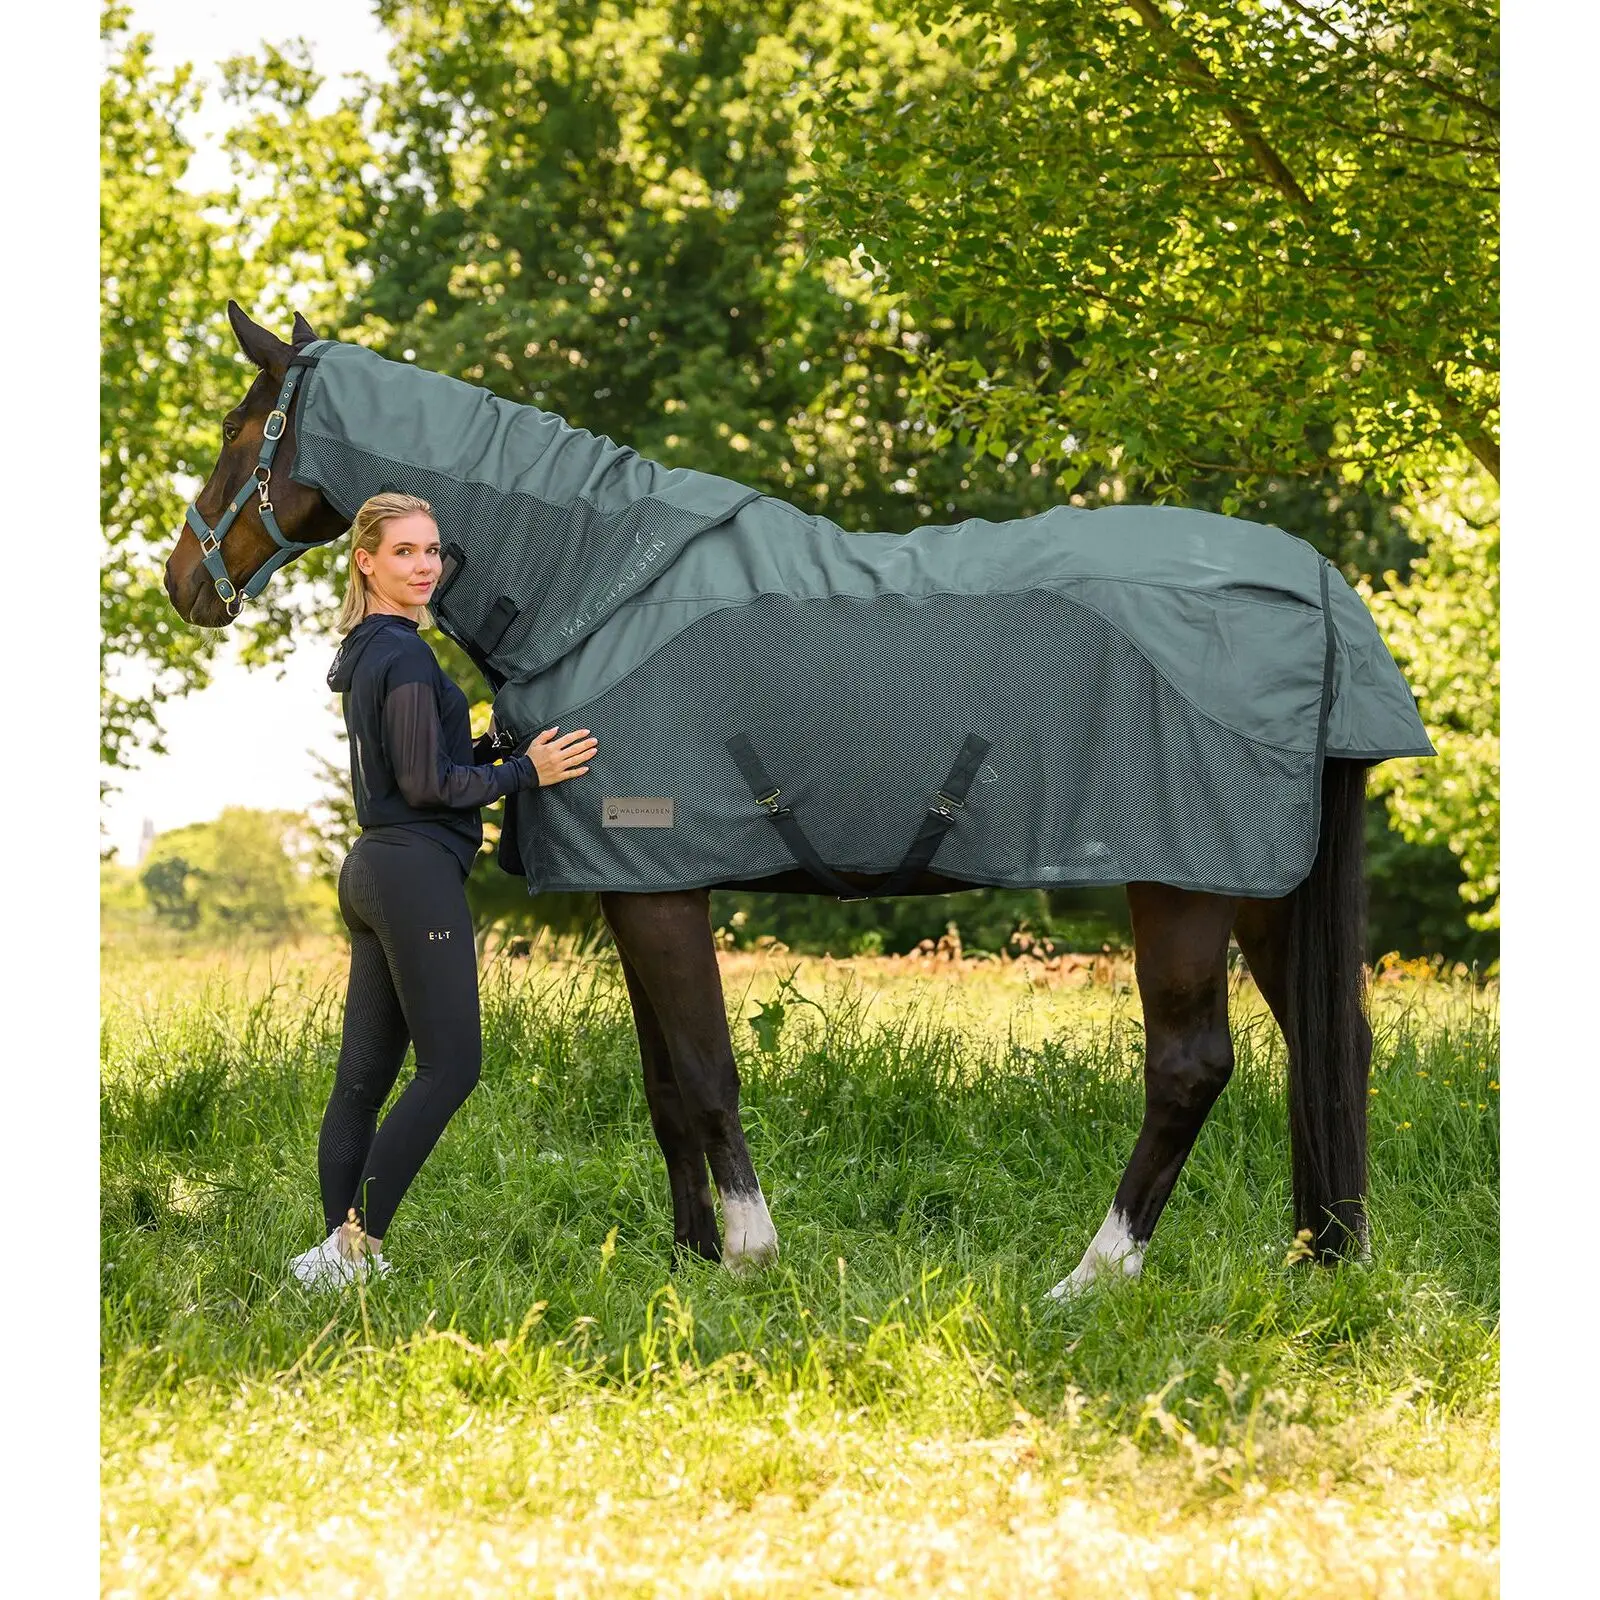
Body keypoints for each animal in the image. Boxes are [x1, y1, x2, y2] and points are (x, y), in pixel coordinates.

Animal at [160, 302, 1375, 1294]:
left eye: (234, 429)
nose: (182, 584)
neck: (595, 586)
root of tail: (1316, 586)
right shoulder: (632, 891)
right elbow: (662, 1086)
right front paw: (689, 1257)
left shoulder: (662, 888)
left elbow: (705, 1074)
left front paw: (750, 1252)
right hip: (1262, 891)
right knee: (1334, 1044)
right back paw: (1328, 1257)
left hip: (1182, 886)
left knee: (1191, 1067)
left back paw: (1095, 1274)